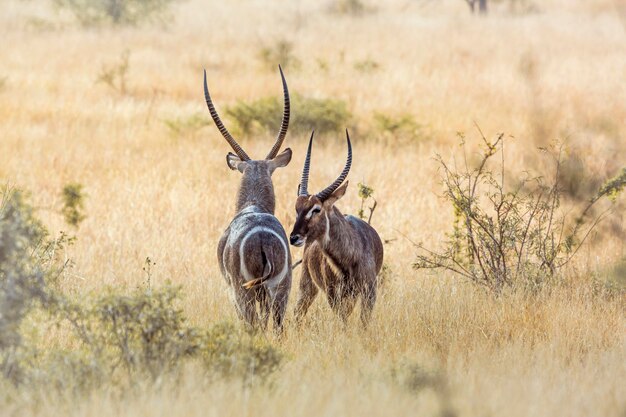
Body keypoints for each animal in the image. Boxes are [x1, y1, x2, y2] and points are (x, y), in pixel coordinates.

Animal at [205, 67, 292, 332]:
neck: (252, 205)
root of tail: (262, 238)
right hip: (281, 291)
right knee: (277, 326)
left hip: (244, 292)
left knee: (253, 325)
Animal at [286, 130, 380, 324]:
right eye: (297, 208)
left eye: (316, 209)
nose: (294, 237)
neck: (349, 259)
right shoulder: (333, 294)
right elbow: (343, 322)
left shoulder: (369, 291)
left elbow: (363, 323)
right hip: (308, 286)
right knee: (298, 313)